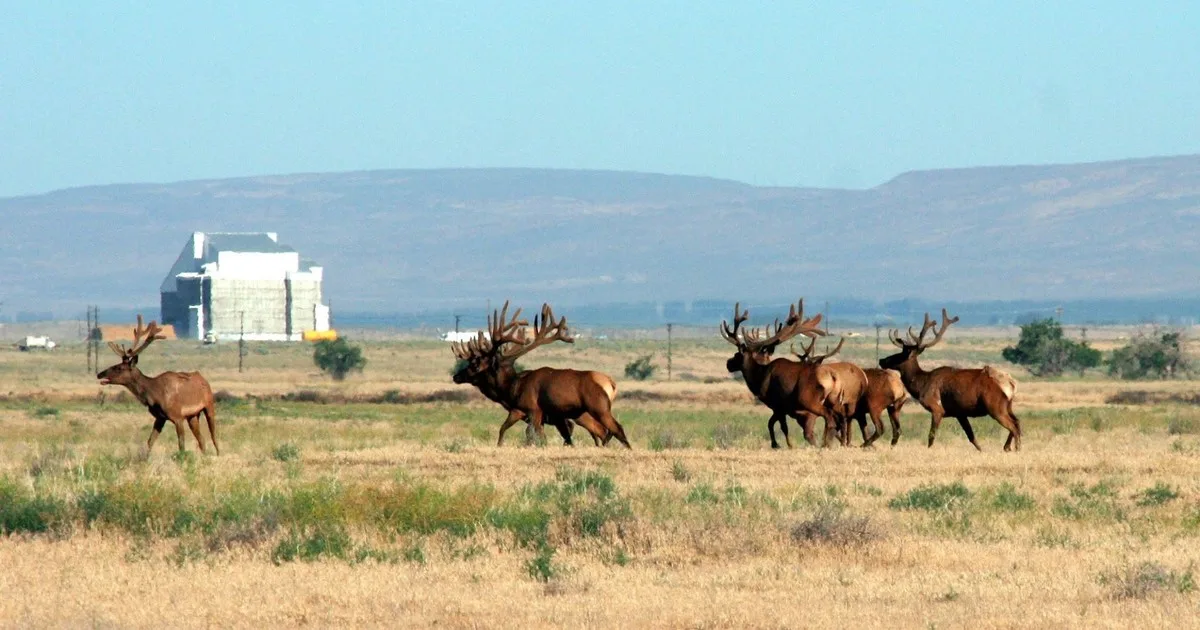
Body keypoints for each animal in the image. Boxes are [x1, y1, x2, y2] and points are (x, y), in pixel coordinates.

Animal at [96, 315, 219, 454]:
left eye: (119, 368)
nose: (99, 374)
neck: (153, 394)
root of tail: (204, 380)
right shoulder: (160, 418)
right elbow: (150, 442)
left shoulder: (177, 416)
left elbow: (181, 444)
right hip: (192, 415)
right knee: (202, 440)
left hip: (209, 405)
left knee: (213, 437)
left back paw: (218, 454)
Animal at [452, 301, 631, 448]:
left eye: (474, 365)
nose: (456, 376)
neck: (512, 389)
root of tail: (611, 383)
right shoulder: (545, 416)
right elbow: (546, 437)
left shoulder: (530, 409)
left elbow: (518, 433)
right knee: (604, 431)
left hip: (598, 407)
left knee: (616, 429)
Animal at [720, 299, 854, 448]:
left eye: (737, 354)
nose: (728, 363)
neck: (758, 377)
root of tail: (833, 378)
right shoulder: (780, 408)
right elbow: (771, 424)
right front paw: (777, 444)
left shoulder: (777, 404)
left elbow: (780, 426)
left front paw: (783, 445)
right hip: (834, 401)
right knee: (839, 421)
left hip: (809, 401)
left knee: (827, 420)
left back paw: (825, 444)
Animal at [879, 309, 1021, 451]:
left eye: (900, 355)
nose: (882, 360)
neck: (921, 385)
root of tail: (1011, 385)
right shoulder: (960, 413)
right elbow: (972, 437)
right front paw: (981, 450)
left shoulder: (937, 408)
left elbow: (931, 436)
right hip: (1008, 406)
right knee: (1017, 422)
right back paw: (1007, 447)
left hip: (995, 406)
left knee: (1013, 426)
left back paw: (1016, 449)